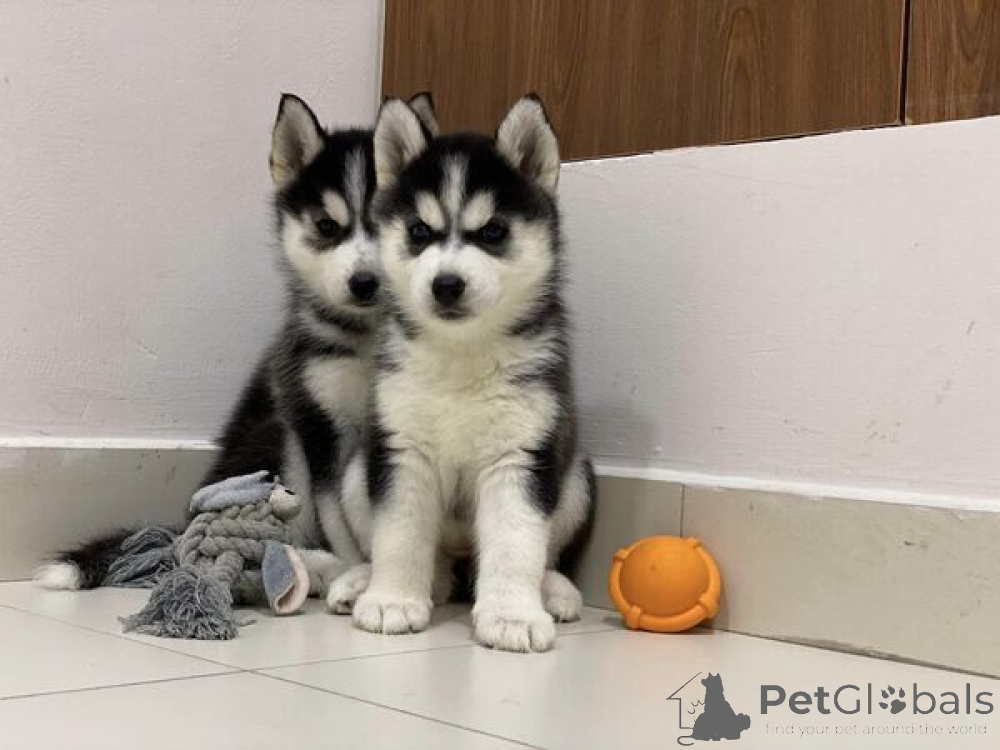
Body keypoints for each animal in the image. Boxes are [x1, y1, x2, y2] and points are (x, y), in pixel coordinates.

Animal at [35, 93, 439, 594]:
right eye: (328, 226)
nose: (365, 283)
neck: (366, 337)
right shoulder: (317, 424)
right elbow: (337, 517)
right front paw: (354, 571)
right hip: (280, 437)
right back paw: (313, 569)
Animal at [337, 95, 595, 652]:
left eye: (493, 231)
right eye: (418, 231)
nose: (446, 284)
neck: (461, 354)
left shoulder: (520, 454)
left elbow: (517, 542)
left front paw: (513, 615)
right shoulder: (401, 448)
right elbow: (399, 534)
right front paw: (393, 599)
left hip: (574, 476)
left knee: (542, 548)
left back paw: (553, 590)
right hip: (356, 473)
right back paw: (367, 580)